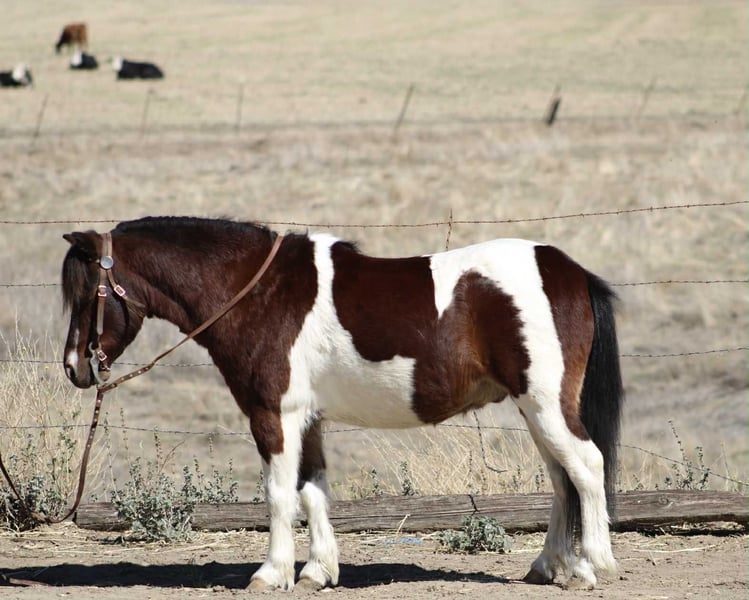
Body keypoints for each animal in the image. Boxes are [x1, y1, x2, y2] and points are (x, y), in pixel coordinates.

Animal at [61, 216, 623, 591]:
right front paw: (317, 570)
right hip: (536, 410)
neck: (260, 293)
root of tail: (571, 272)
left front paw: (271, 573)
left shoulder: (273, 416)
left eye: (86, 294)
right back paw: (550, 566)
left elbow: (279, 495)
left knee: (587, 466)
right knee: (562, 479)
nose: (73, 368)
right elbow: (313, 491)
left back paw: (594, 564)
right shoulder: (307, 420)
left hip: (546, 405)